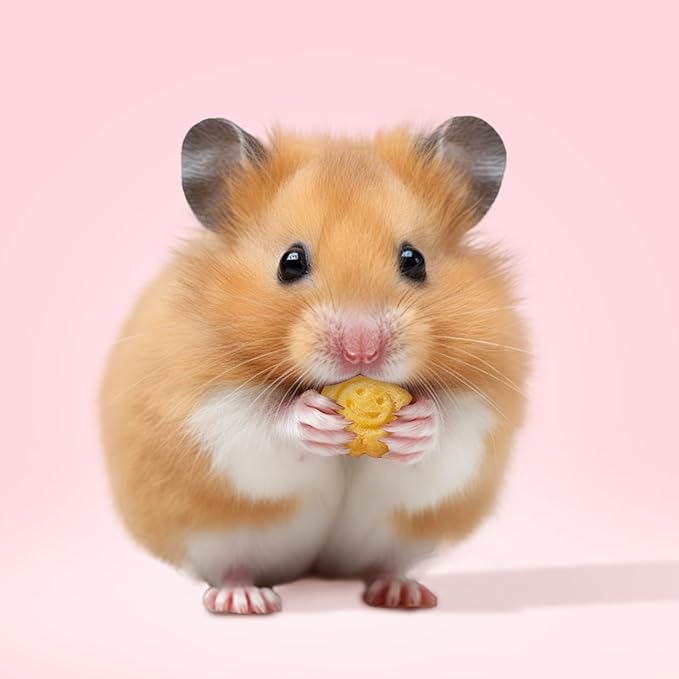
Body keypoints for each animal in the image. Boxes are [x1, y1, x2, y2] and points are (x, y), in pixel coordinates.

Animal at [98, 116, 530, 614]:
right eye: (290, 262)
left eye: (414, 260)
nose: (362, 351)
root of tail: (314, 568)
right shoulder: (200, 406)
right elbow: (258, 424)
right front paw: (313, 418)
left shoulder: (486, 411)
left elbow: (452, 432)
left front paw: (415, 424)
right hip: (215, 538)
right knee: (232, 567)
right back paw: (244, 600)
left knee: (384, 565)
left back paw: (403, 593)